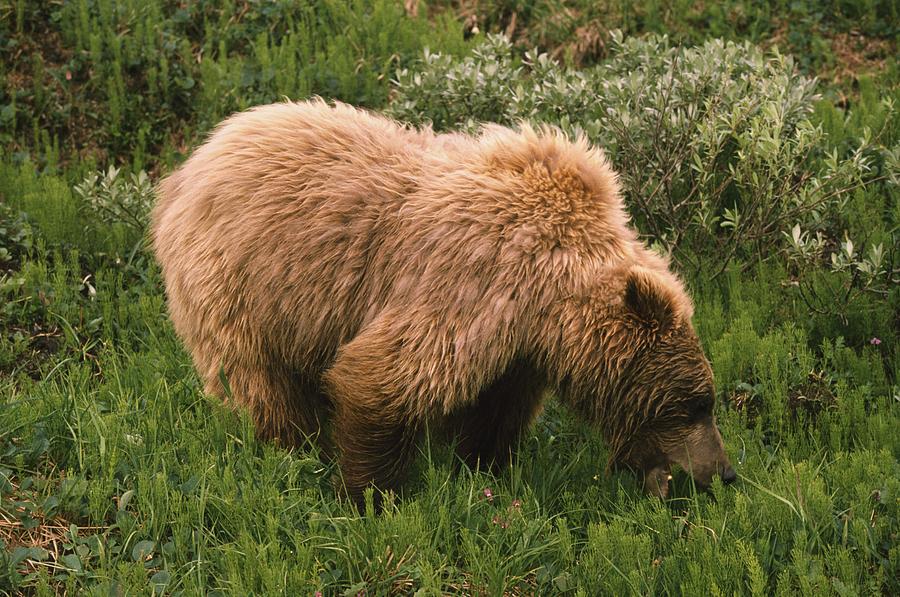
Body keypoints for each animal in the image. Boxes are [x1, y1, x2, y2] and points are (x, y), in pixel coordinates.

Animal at [151, 99, 736, 502]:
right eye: (695, 403)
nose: (725, 472)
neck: (547, 299)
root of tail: (192, 162)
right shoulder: (472, 280)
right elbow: (384, 377)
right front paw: (369, 493)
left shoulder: (518, 344)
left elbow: (496, 408)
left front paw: (484, 466)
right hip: (241, 284)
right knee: (262, 380)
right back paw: (292, 448)